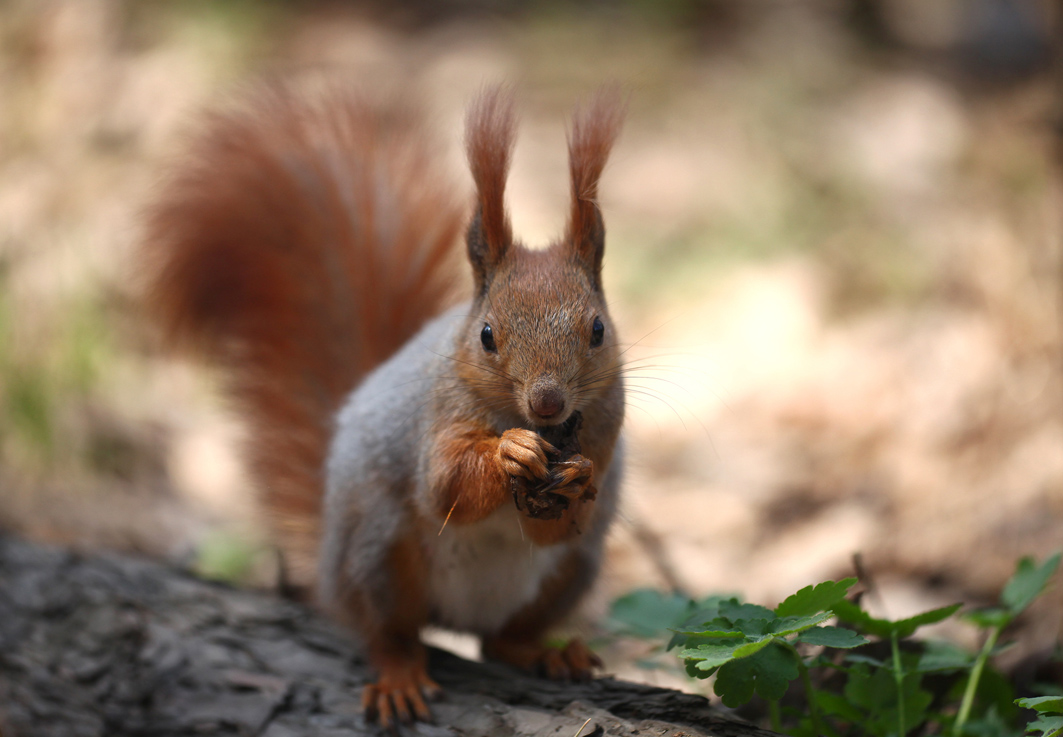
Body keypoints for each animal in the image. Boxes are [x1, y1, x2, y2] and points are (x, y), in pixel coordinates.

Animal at [138, 80, 625, 723]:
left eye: (597, 330)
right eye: (487, 334)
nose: (546, 404)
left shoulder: (604, 426)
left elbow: (562, 522)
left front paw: (576, 475)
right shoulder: (435, 417)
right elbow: (444, 486)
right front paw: (510, 454)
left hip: (571, 572)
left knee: (500, 640)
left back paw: (548, 652)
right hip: (379, 553)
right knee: (388, 633)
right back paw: (398, 676)